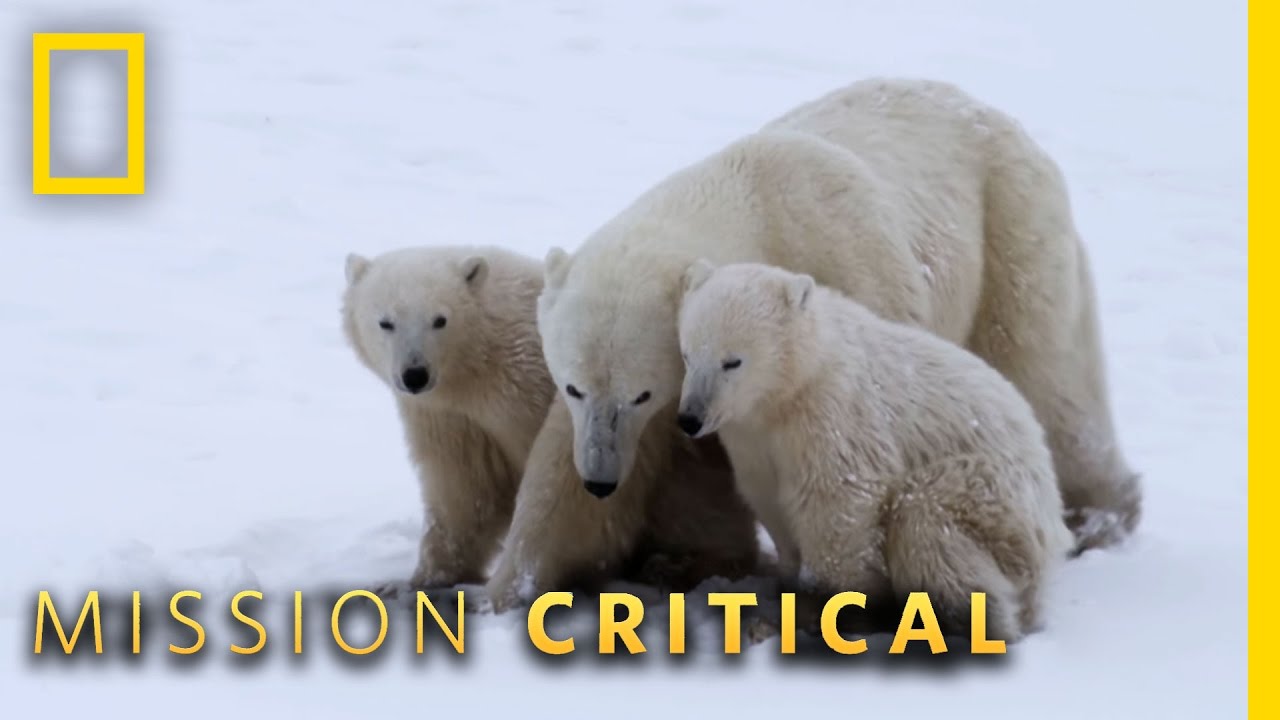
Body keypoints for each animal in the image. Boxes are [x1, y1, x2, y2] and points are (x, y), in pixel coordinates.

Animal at [342, 246, 759, 596]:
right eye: (385, 322)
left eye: (439, 319)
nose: (414, 374)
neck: (479, 365)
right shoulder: (448, 415)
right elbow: (465, 487)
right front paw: (420, 579)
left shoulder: (531, 388)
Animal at [676, 261, 1074, 642]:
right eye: (687, 355)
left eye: (732, 361)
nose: (690, 418)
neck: (791, 389)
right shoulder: (752, 442)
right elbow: (772, 504)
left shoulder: (834, 415)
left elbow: (839, 503)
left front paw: (825, 611)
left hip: (997, 501)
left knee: (925, 521)